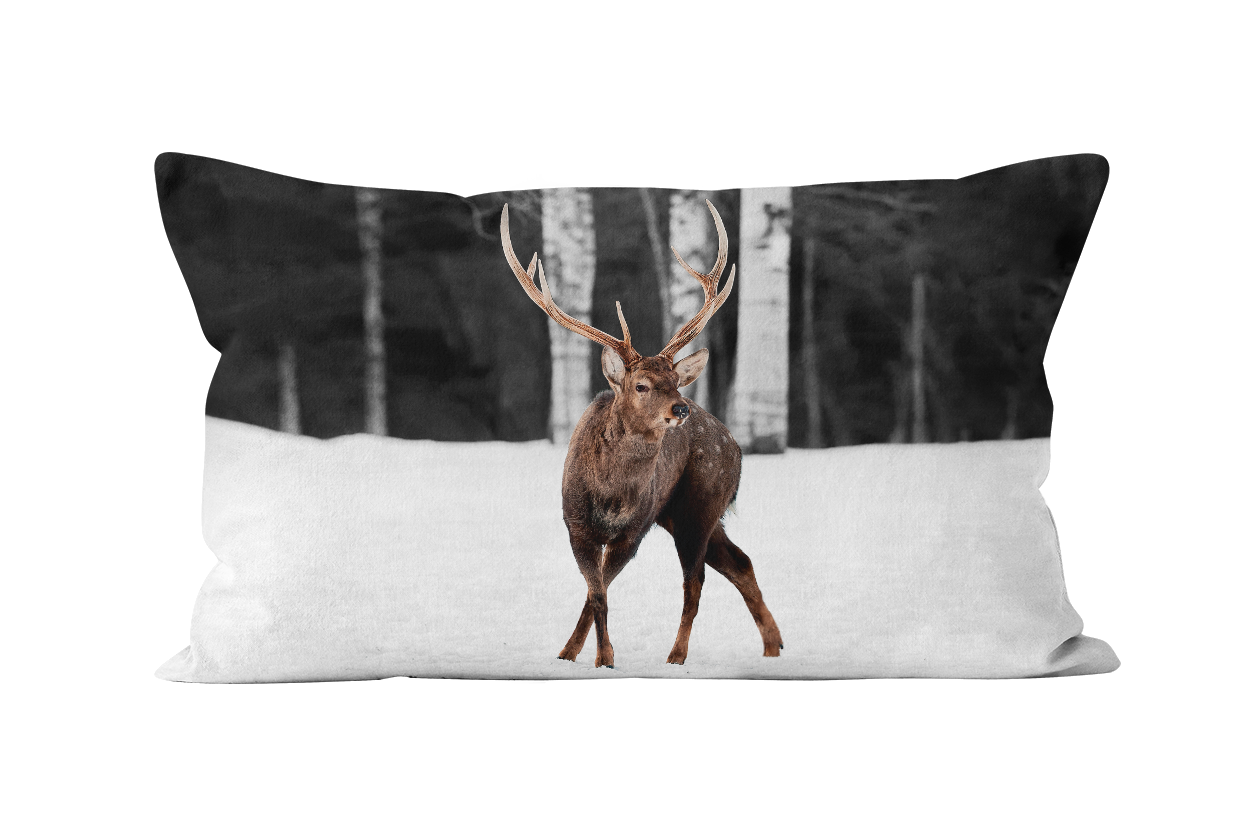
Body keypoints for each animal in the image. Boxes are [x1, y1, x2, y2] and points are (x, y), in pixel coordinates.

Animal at [500, 199, 783, 668]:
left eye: (675, 381)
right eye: (642, 386)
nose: (681, 407)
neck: (610, 497)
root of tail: (737, 449)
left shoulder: (633, 531)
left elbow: (599, 592)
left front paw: (603, 657)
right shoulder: (576, 526)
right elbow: (596, 593)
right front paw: (574, 653)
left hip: (698, 505)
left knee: (695, 583)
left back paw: (677, 656)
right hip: (685, 513)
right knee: (739, 562)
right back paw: (773, 644)